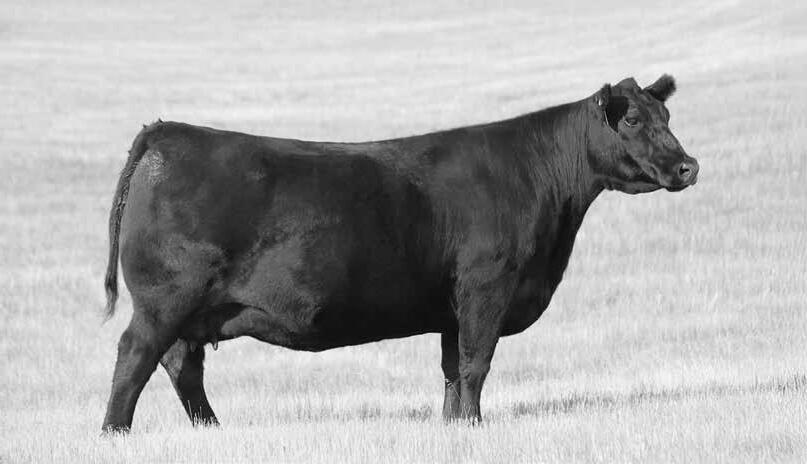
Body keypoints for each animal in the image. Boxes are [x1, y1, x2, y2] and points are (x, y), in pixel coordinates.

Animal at [101, 75, 698, 433]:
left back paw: (211, 430)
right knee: (136, 357)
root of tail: (166, 131)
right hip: (164, 299)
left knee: (182, 365)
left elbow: (453, 370)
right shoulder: (487, 287)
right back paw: (115, 433)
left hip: (190, 309)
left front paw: (454, 427)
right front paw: (476, 427)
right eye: (632, 120)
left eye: (667, 118)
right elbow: (477, 363)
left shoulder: (451, 309)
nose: (688, 166)